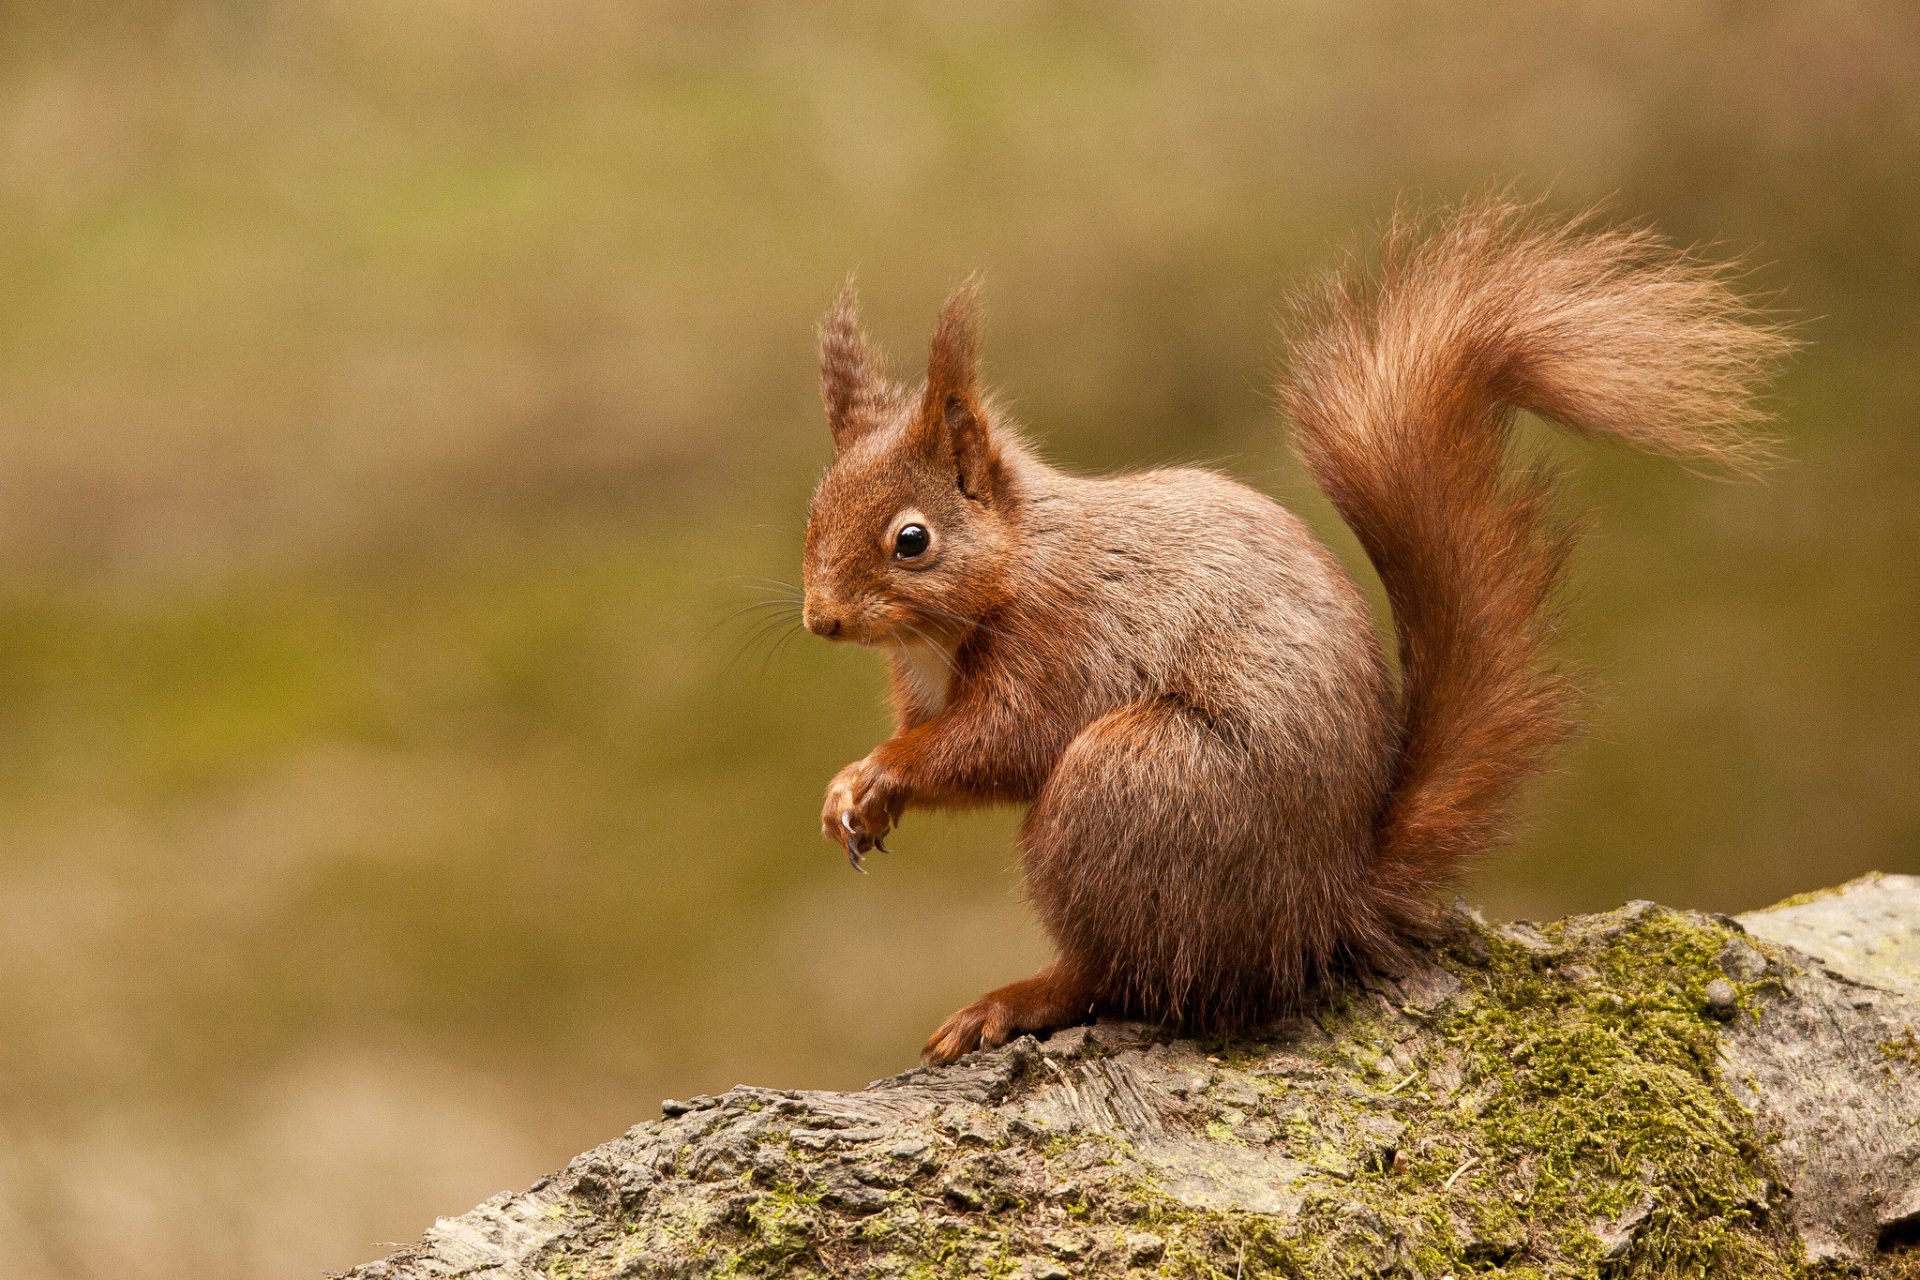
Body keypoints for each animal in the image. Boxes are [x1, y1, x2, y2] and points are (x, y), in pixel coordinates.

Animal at [798, 195, 1789, 1066]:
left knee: (1124, 973)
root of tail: (1323, 907)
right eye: (812, 513)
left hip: (1134, 785)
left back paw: (1015, 1002)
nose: (821, 619)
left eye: (913, 540)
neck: (1007, 567)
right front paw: (853, 794)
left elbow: (996, 741)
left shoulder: (1061, 639)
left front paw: (881, 772)